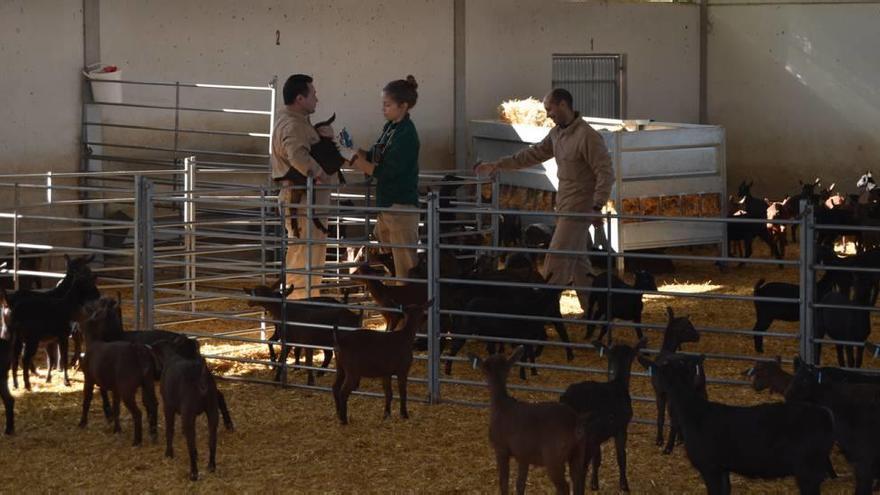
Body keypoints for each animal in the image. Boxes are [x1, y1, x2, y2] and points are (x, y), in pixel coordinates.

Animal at [470, 348, 588, 495]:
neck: (501, 405)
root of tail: (575, 422)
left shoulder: (501, 448)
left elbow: (504, 482)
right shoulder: (523, 455)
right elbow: (520, 484)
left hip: (554, 457)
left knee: (564, 487)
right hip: (578, 453)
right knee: (577, 481)